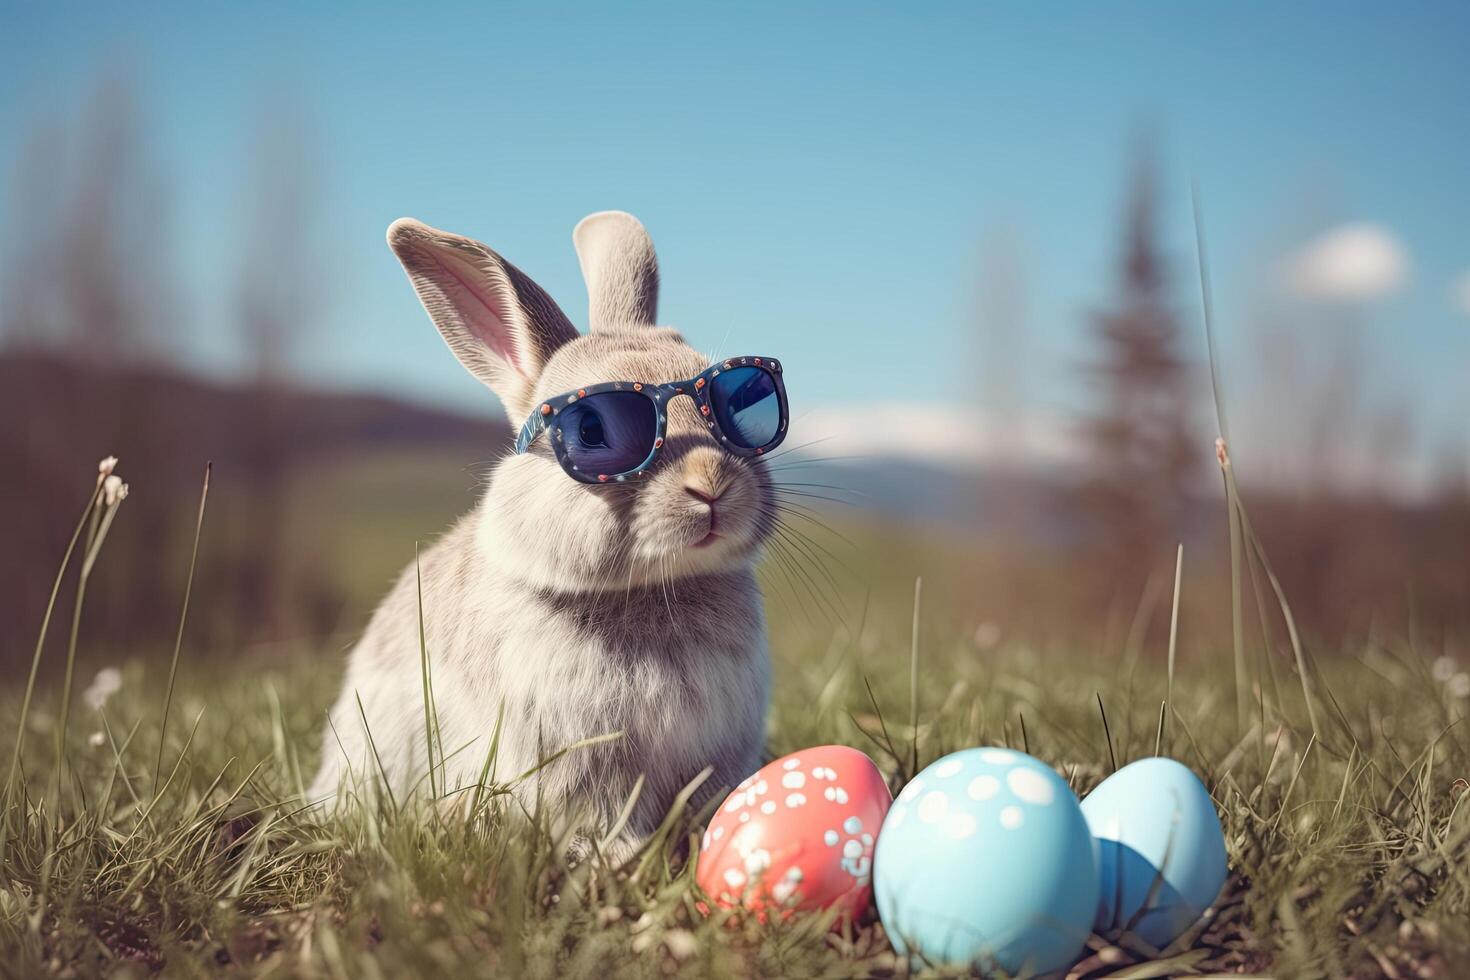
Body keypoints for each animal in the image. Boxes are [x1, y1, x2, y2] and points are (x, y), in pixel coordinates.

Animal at [305, 208, 776, 858]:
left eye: (742, 408)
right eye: (594, 430)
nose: (712, 484)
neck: (653, 589)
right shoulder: (580, 763)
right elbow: (603, 816)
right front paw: (621, 859)